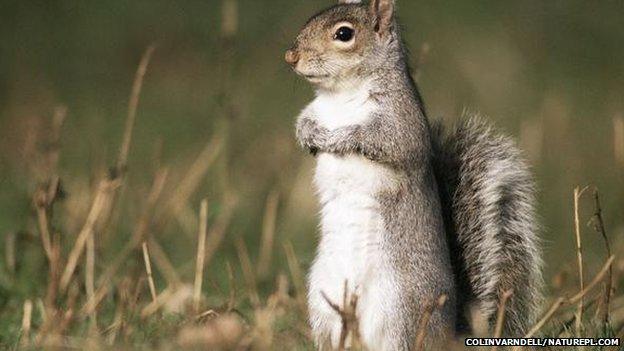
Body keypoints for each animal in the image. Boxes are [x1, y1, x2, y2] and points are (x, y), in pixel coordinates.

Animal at [286, 1, 540, 350]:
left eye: (344, 34)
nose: (291, 56)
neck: (340, 97)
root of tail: (450, 336)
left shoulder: (402, 121)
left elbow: (389, 142)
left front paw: (341, 138)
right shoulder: (317, 109)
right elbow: (305, 120)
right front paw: (309, 135)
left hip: (401, 309)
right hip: (323, 302)